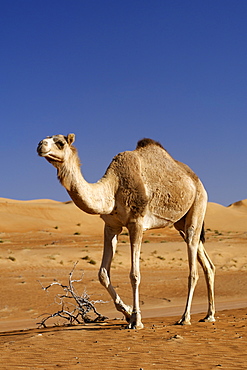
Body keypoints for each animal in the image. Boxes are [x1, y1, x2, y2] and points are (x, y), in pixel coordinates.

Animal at [37, 134, 215, 330]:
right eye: (46, 138)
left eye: (60, 143)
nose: (40, 145)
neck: (113, 187)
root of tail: (197, 181)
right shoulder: (111, 226)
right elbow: (102, 274)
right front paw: (128, 313)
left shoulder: (136, 223)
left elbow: (134, 274)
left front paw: (136, 320)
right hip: (180, 224)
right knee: (207, 263)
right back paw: (209, 315)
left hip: (198, 204)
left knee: (193, 268)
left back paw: (185, 317)